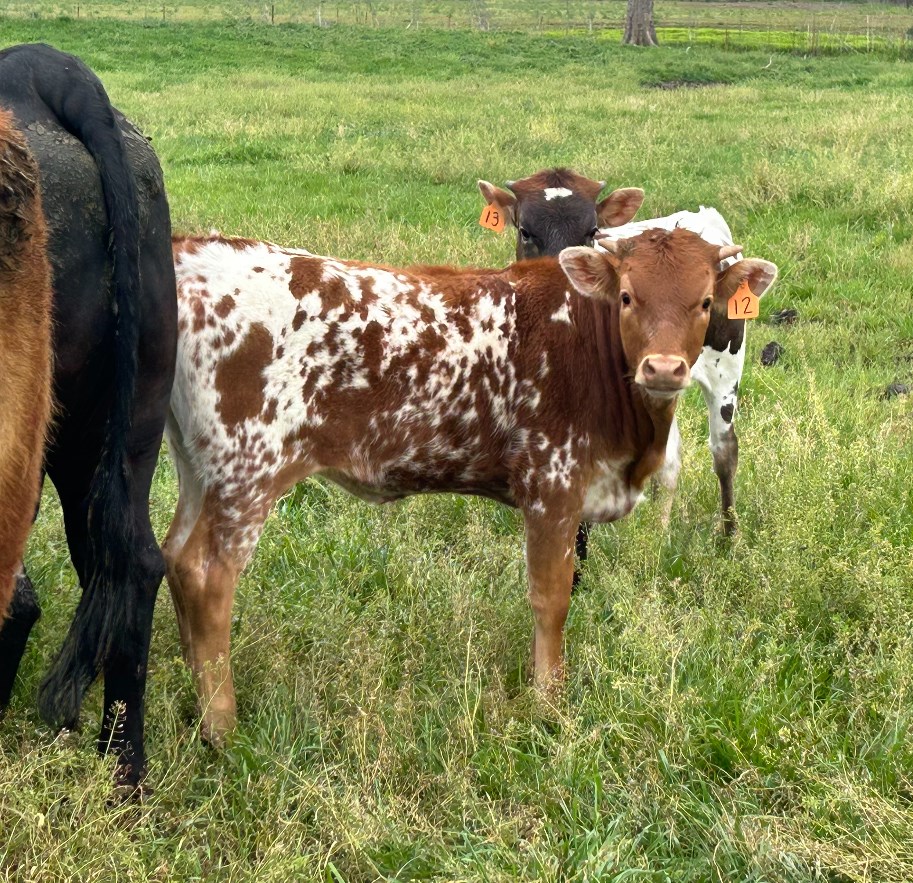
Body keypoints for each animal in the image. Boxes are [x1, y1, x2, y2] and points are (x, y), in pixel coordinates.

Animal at [163, 228, 777, 743]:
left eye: (705, 303)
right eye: (627, 297)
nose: (665, 368)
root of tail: (194, 252)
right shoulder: (552, 484)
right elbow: (551, 597)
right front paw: (549, 702)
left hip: (199, 467)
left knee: (173, 555)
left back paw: (197, 699)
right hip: (249, 468)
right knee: (206, 575)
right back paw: (223, 728)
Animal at [478, 170, 749, 586]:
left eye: (592, 231)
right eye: (525, 231)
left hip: (726, 371)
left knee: (724, 451)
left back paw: (728, 537)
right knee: (669, 462)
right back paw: (658, 534)